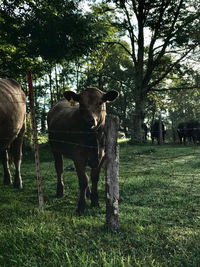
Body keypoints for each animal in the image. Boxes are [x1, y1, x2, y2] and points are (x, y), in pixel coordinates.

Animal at [47, 87, 119, 215]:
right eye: (81, 103)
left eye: (100, 102)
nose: (90, 120)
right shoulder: (78, 155)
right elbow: (83, 180)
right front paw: (81, 206)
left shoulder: (102, 156)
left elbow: (94, 178)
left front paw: (95, 202)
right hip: (55, 148)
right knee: (59, 168)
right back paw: (60, 191)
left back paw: (88, 194)